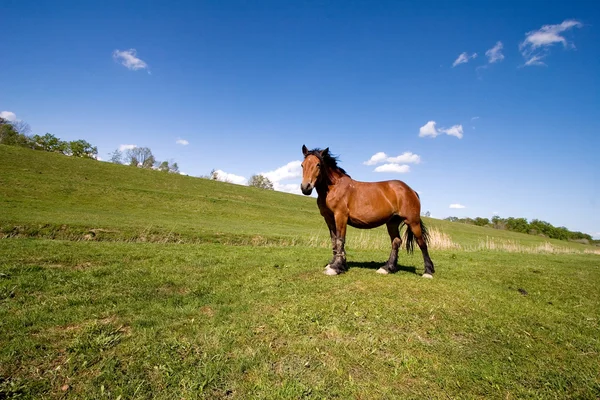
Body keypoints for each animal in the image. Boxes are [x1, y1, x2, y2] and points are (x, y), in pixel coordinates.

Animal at [300, 145, 436, 278]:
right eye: (302, 165)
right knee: (396, 242)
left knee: (421, 243)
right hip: (392, 222)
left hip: (413, 221)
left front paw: (336, 267)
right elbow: (334, 240)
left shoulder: (340, 216)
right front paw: (334, 264)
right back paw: (387, 268)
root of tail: (411, 190)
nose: (305, 187)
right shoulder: (329, 218)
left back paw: (428, 272)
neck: (334, 187)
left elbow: (340, 240)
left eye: (318, 164)